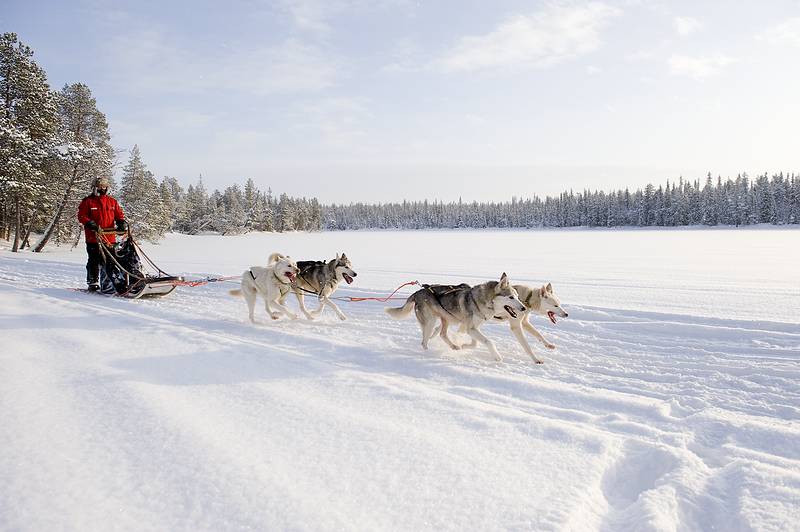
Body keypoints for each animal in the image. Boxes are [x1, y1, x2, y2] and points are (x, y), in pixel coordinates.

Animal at [386, 274, 528, 362]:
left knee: (442, 334)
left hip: (445, 319)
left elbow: (475, 343)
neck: (481, 301)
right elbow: (488, 341)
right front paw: (497, 357)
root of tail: (417, 292)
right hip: (430, 322)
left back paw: (454, 346)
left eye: (517, 296)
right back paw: (429, 353)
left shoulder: (472, 328)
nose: (524, 308)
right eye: (510, 297)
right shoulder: (471, 328)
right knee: (424, 342)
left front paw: (464, 346)